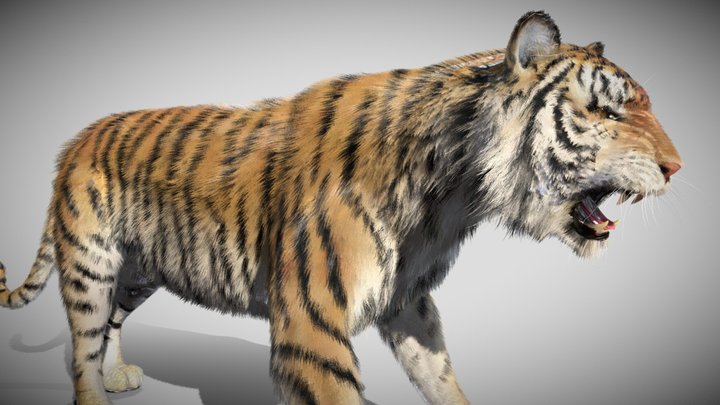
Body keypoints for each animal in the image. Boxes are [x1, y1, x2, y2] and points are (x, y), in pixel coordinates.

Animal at [0, 10, 681, 405]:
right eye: (606, 110)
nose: (678, 168)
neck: (454, 192)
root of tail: (76, 139)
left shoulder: (407, 301)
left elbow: (442, 378)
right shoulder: (311, 322)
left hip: (142, 268)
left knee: (111, 325)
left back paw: (119, 375)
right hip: (90, 264)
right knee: (82, 349)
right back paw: (97, 389)